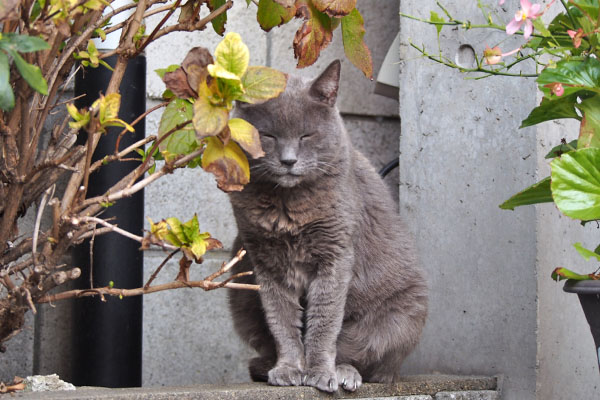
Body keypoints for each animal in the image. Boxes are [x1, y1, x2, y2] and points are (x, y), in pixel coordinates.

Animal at [226, 60, 426, 394]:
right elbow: (281, 321)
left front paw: (319, 373)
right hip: (240, 297)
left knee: (368, 360)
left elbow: (324, 321)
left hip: (406, 313)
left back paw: (345, 373)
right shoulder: (264, 260)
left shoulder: (335, 255)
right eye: (268, 135)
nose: (288, 161)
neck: (287, 205)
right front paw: (289, 369)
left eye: (306, 135)